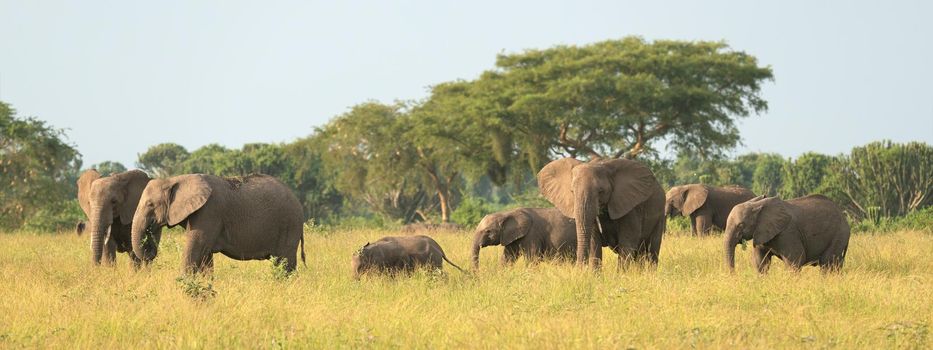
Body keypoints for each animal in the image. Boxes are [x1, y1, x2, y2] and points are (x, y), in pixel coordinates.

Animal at [130, 174, 306, 274]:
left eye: (150, 204)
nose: (150, 250)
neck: (175, 179)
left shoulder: (208, 212)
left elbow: (193, 252)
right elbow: (205, 258)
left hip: (290, 225)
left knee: (285, 263)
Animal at [536, 157, 668, 270]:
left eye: (601, 191)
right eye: (572, 191)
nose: (579, 270)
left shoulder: (630, 207)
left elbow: (627, 243)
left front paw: (622, 277)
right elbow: (594, 243)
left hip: (660, 216)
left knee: (651, 250)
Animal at [720, 194, 852, 274]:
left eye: (740, 225)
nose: (734, 275)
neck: (758, 205)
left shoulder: (788, 233)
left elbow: (794, 262)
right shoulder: (761, 232)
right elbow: (761, 262)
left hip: (838, 235)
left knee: (828, 264)